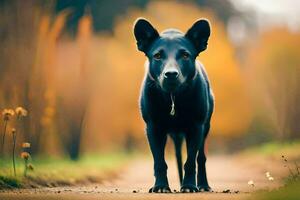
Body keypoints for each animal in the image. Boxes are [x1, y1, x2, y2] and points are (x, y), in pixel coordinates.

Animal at [133, 18, 213, 193]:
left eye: (185, 55)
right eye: (157, 56)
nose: (170, 74)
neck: (173, 97)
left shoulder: (196, 127)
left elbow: (190, 161)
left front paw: (189, 186)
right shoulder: (153, 128)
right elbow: (159, 162)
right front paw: (161, 186)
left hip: (205, 128)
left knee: (201, 158)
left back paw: (203, 185)